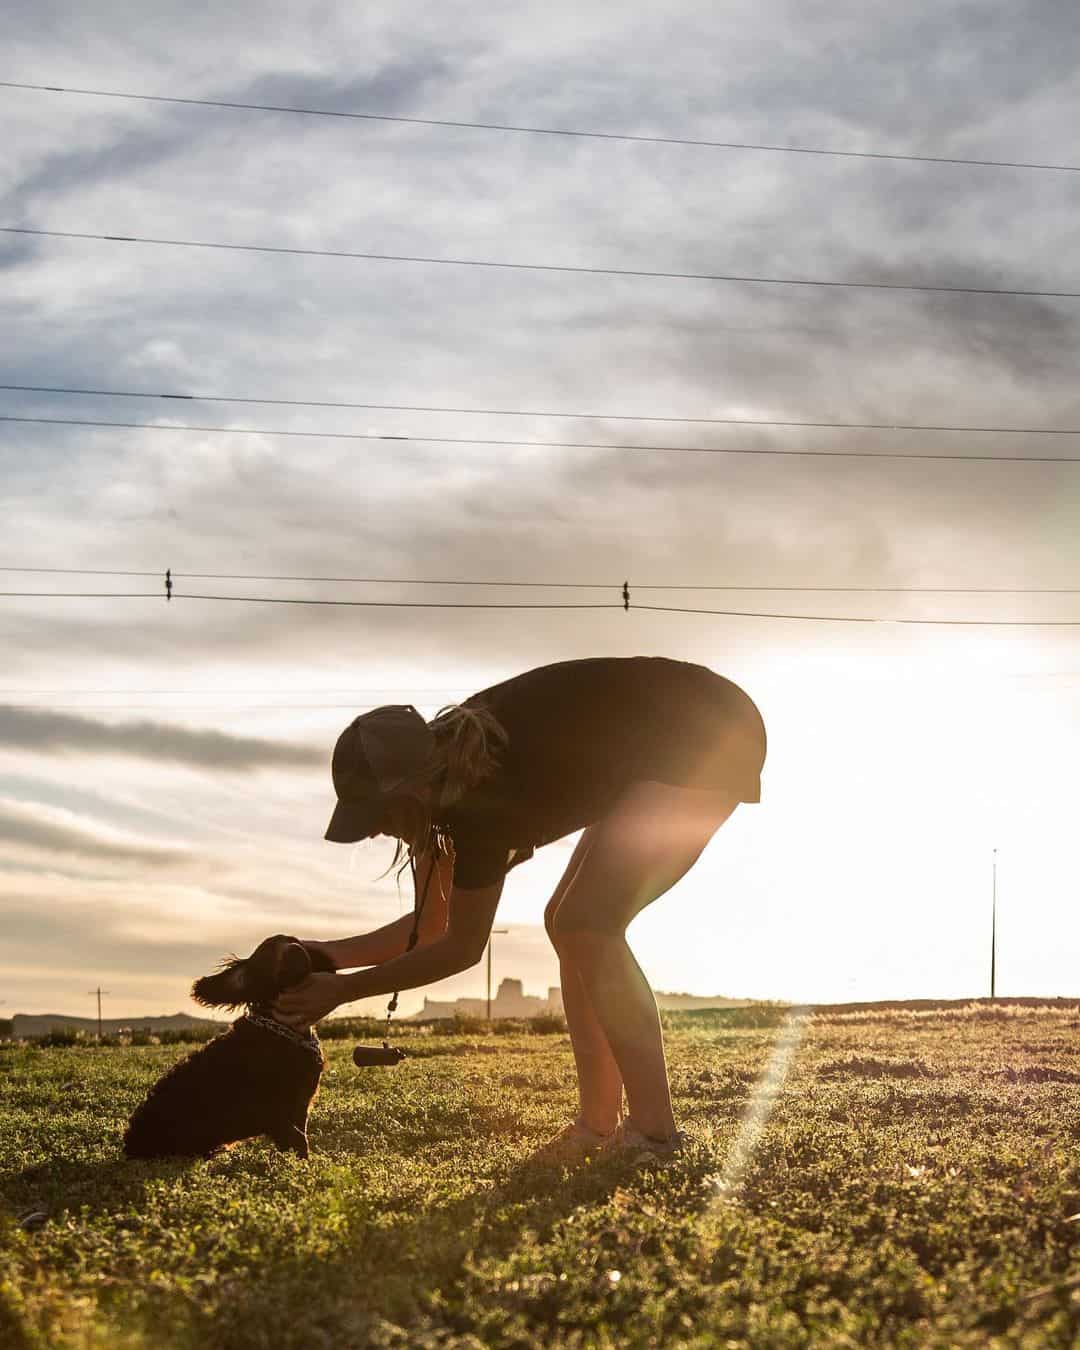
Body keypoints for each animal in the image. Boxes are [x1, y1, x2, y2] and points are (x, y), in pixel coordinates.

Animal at [122, 928, 333, 1161]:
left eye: (294, 941)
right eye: (267, 955)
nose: (295, 950)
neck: (283, 1029)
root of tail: (130, 1143)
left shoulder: (298, 1108)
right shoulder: (275, 1112)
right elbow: (297, 1142)